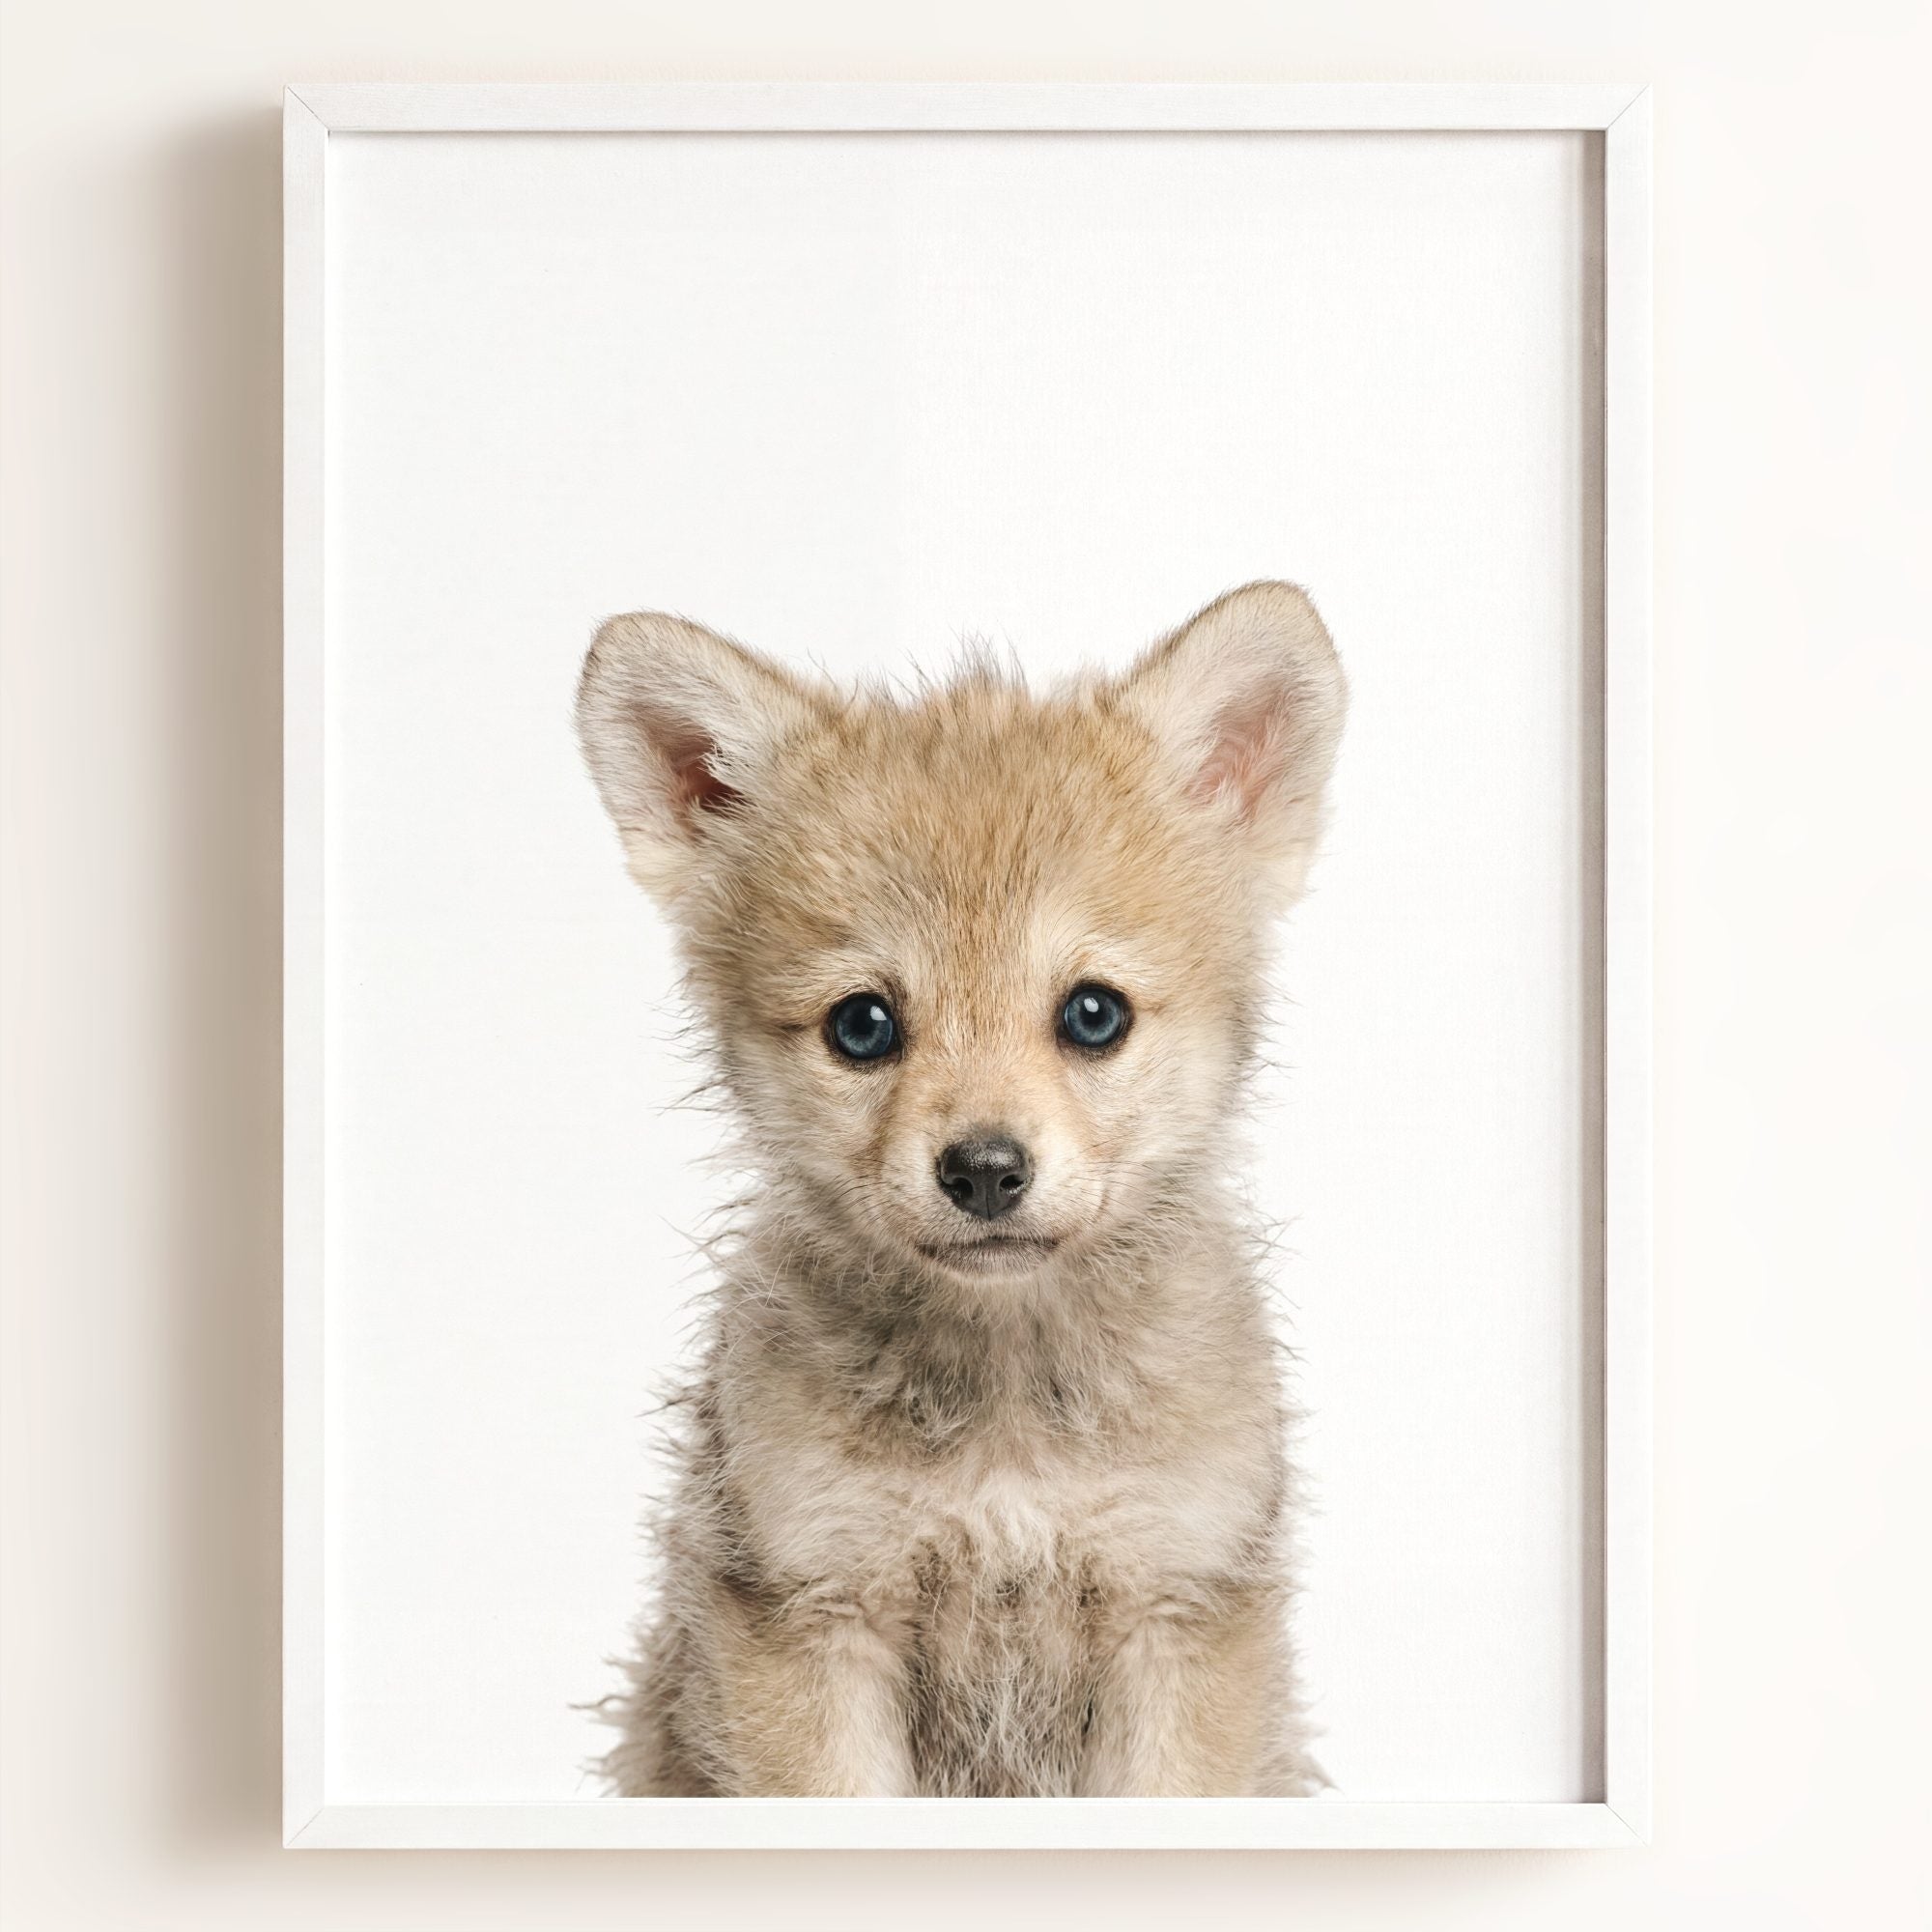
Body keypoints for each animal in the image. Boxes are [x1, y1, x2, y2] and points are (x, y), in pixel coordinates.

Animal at [575, 582, 1346, 1797]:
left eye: (1092, 1012)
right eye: (861, 1024)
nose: (984, 1168)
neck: (1007, 1420)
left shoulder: (1175, 1606)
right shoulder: (810, 1610)